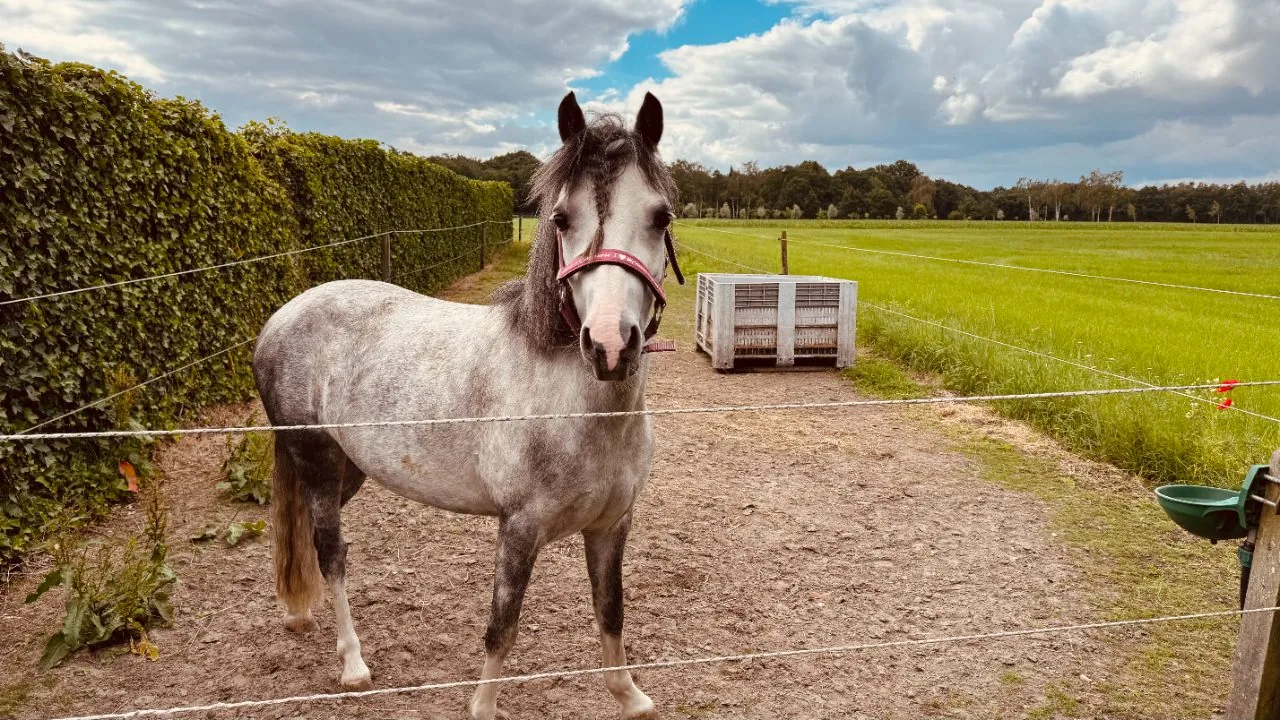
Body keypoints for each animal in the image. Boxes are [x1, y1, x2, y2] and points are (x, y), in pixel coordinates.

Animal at [252, 90, 683, 720]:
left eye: (660, 216)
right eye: (561, 218)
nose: (609, 344)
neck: (582, 410)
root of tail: (281, 317)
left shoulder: (612, 526)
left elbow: (611, 611)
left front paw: (629, 697)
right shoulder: (519, 528)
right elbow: (502, 625)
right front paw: (482, 707)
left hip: (346, 468)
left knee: (308, 538)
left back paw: (300, 618)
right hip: (316, 461)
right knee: (331, 554)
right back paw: (353, 664)